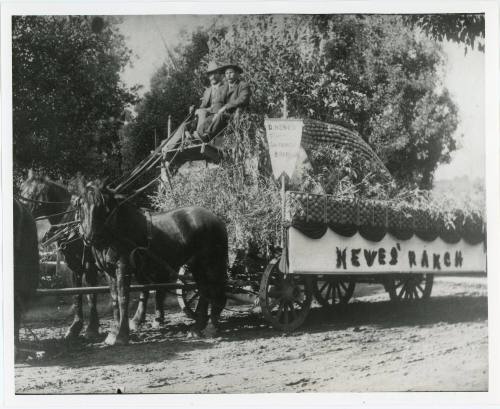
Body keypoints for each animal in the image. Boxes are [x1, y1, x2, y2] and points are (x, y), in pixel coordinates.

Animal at [78, 182, 229, 344]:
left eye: (102, 206)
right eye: (81, 204)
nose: (90, 237)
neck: (118, 229)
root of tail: (216, 219)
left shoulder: (123, 268)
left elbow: (123, 298)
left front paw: (121, 335)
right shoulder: (109, 271)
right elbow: (114, 299)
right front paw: (113, 333)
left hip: (211, 264)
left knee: (215, 291)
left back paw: (211, 328)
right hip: (197, 266)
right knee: (204, 292)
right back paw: (197, 329)